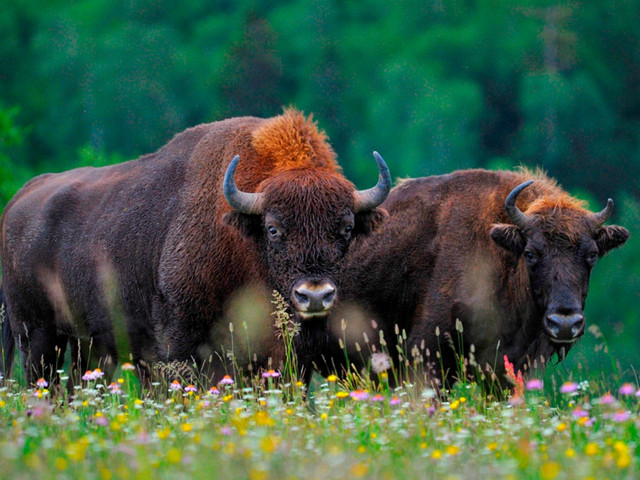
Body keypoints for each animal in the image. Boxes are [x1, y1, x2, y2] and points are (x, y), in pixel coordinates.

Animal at [0, 109, 390, 386]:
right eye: (273, 228)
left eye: (346, 228)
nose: (315, 295)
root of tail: (18, 201)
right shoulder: (179, 339)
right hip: (36, 335)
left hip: (84, 345)